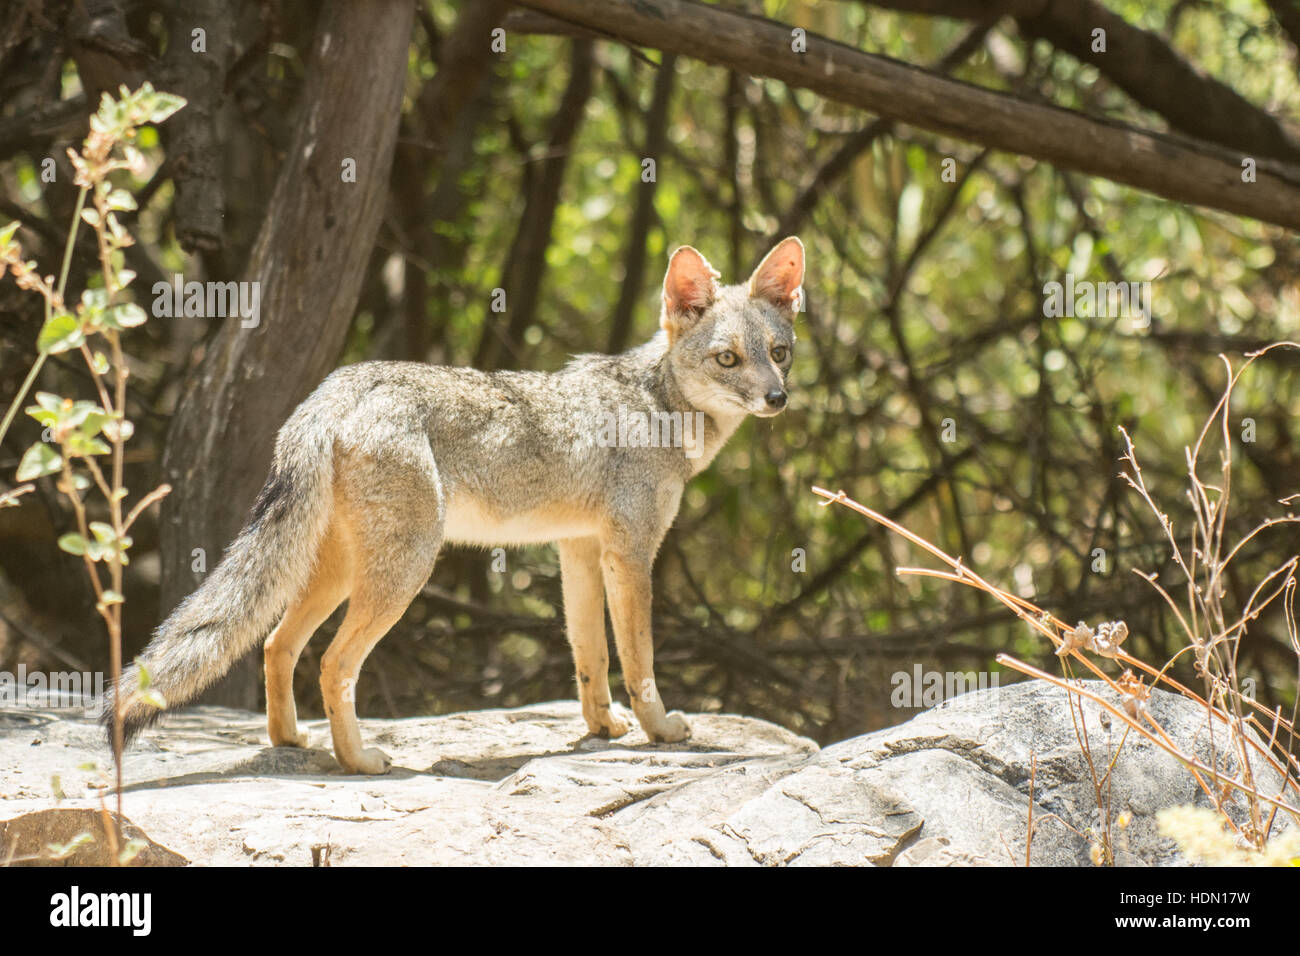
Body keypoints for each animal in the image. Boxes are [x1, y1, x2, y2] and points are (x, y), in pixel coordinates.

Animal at [106, 235, 800, 775]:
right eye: (728, 359)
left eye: (779, 353)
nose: (777, 400)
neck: (658, 404)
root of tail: (337, 386)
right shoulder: (630, 553)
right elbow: (639, 658)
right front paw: (660, 729)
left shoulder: (579, 549)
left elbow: (589, 655)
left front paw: (602, 728)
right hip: (406, 570)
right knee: (332, 662)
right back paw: (358, 761)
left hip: (340, 571)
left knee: (277, 645)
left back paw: (292, 741)